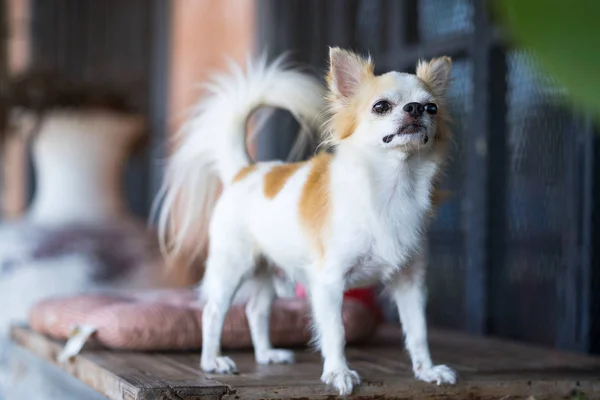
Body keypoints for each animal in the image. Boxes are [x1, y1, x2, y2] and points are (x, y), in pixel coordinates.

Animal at [157, 48, 458, 396]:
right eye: (381, 106)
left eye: (432, 108)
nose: (415, 109)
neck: (393, 186)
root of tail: (244, 170)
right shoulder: (328, 282)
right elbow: (336, 332)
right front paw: (339, 372)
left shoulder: (410, 282)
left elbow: (418, 330)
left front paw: (427, 370)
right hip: (233, 266)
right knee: (212, 311)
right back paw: (212, 361)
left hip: (267, 269)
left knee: (256, 311)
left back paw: (266, 354)